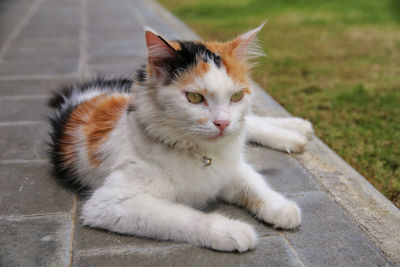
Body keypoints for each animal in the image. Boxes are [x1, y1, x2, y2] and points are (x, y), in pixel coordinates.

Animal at [48, 23, 314, 253]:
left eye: (236, 96)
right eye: (194, 98)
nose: (223, 123)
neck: (198, 152)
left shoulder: (231, 166)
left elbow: (255, 184)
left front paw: (281, 207)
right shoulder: (109, 203)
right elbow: (184, 217)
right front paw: (232, 231)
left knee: (253, 122)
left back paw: (296, 130)